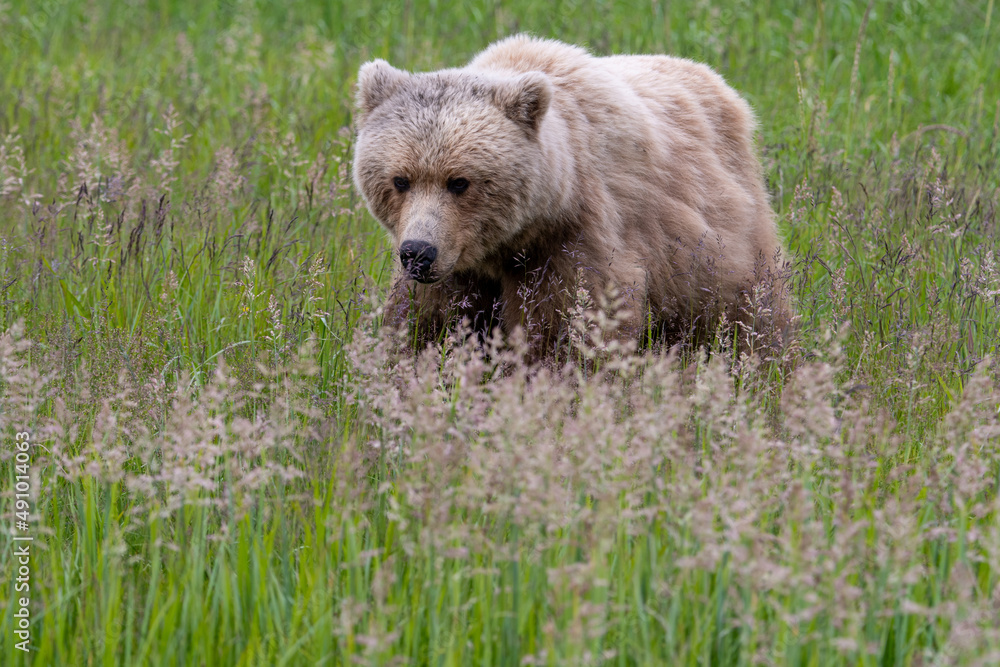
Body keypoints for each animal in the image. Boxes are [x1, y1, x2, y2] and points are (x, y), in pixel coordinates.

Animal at [352, 35, 791, 358]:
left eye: (459, 181)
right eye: (400, 180)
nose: (418, 253)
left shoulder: (573, 238)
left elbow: (566, 326)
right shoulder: (456, 264)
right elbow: (428, 323)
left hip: (720, 246)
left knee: (751, 316)